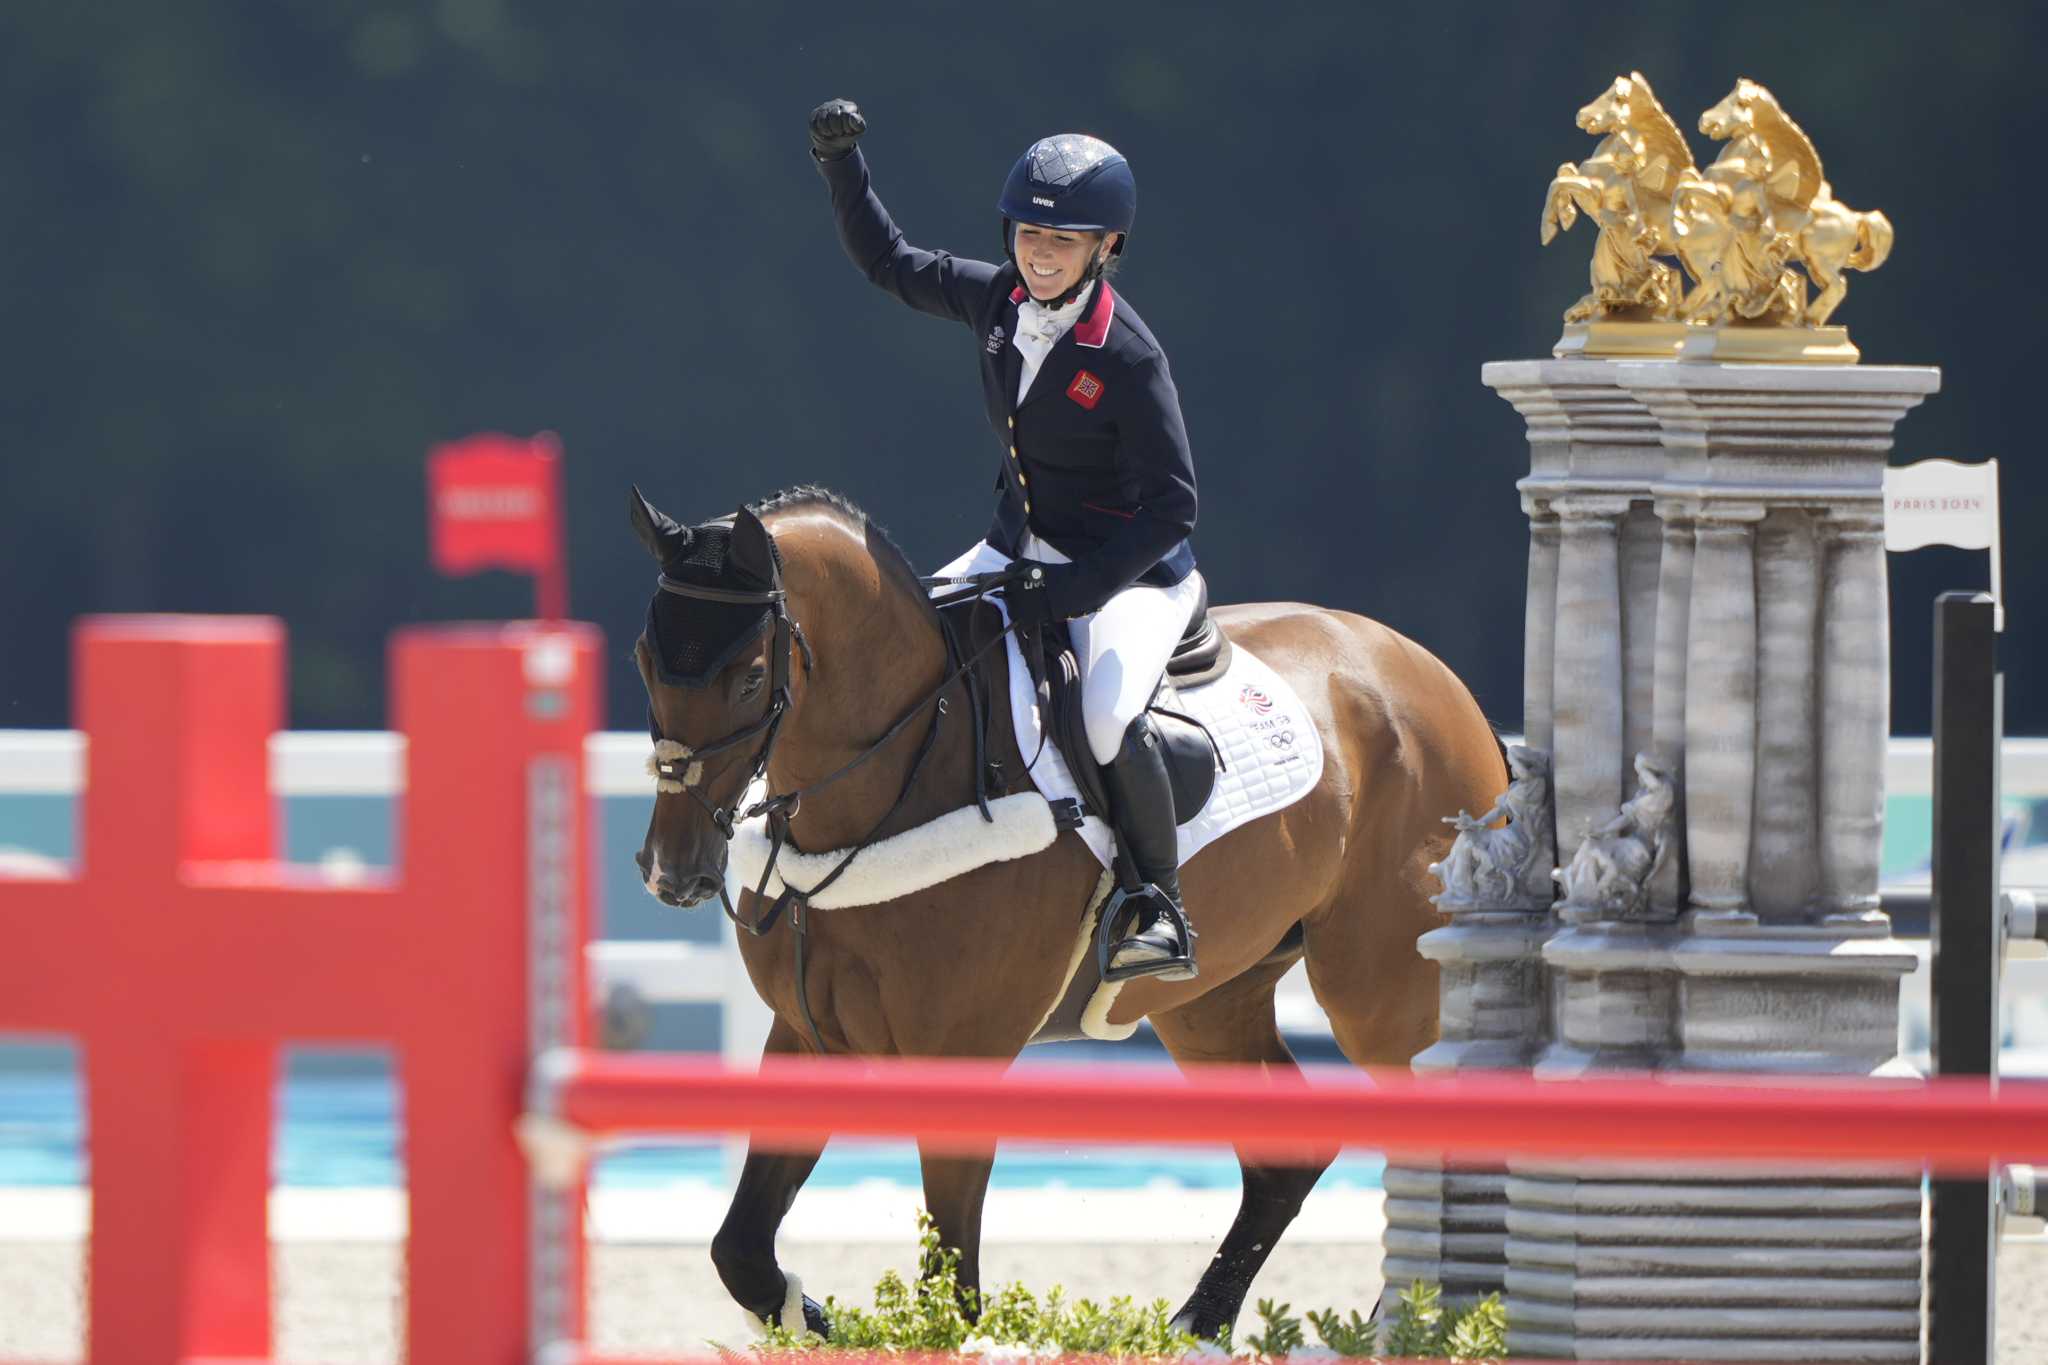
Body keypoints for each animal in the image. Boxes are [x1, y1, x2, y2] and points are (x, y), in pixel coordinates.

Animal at [626, 485, 1507, 1342]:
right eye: (643, 660)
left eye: (748, 678)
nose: (674, 869)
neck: (895, 788)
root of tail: (1438, 681)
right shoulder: (810, 1035)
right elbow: (740, 1245)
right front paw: (810, 1316)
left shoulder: (964, 1054)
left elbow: (955, 1291)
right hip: (1213, 1001)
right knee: (1289, 1157)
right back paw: (1199, 1325)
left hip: (1382, 994)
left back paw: (1431, 1317)